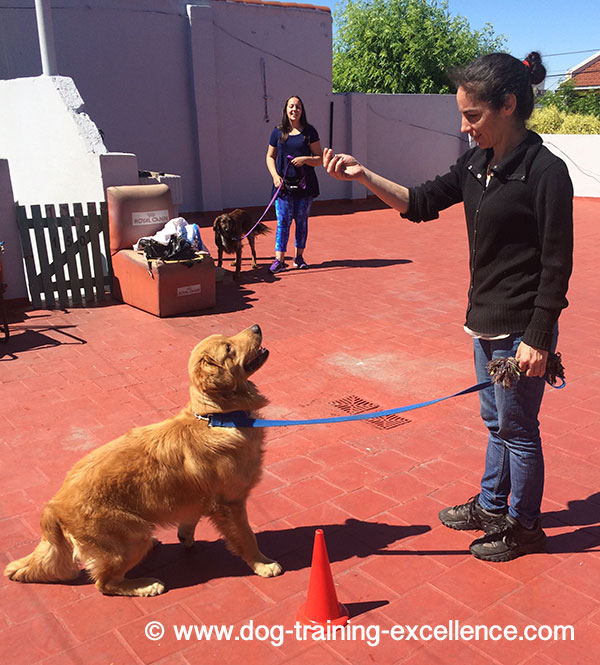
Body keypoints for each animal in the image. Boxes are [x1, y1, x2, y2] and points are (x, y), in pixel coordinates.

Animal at [4, 324, 282, 592]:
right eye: (228, 348)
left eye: (228, 339)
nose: (256, 327)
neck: (217, 417)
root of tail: (53, 504)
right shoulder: (230, 504)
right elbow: (246, 537)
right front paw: (262, 563)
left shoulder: (199, 496)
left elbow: (190, 518)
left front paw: (186, 535)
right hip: (134, 537)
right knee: (104, 583)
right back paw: (144, 586)